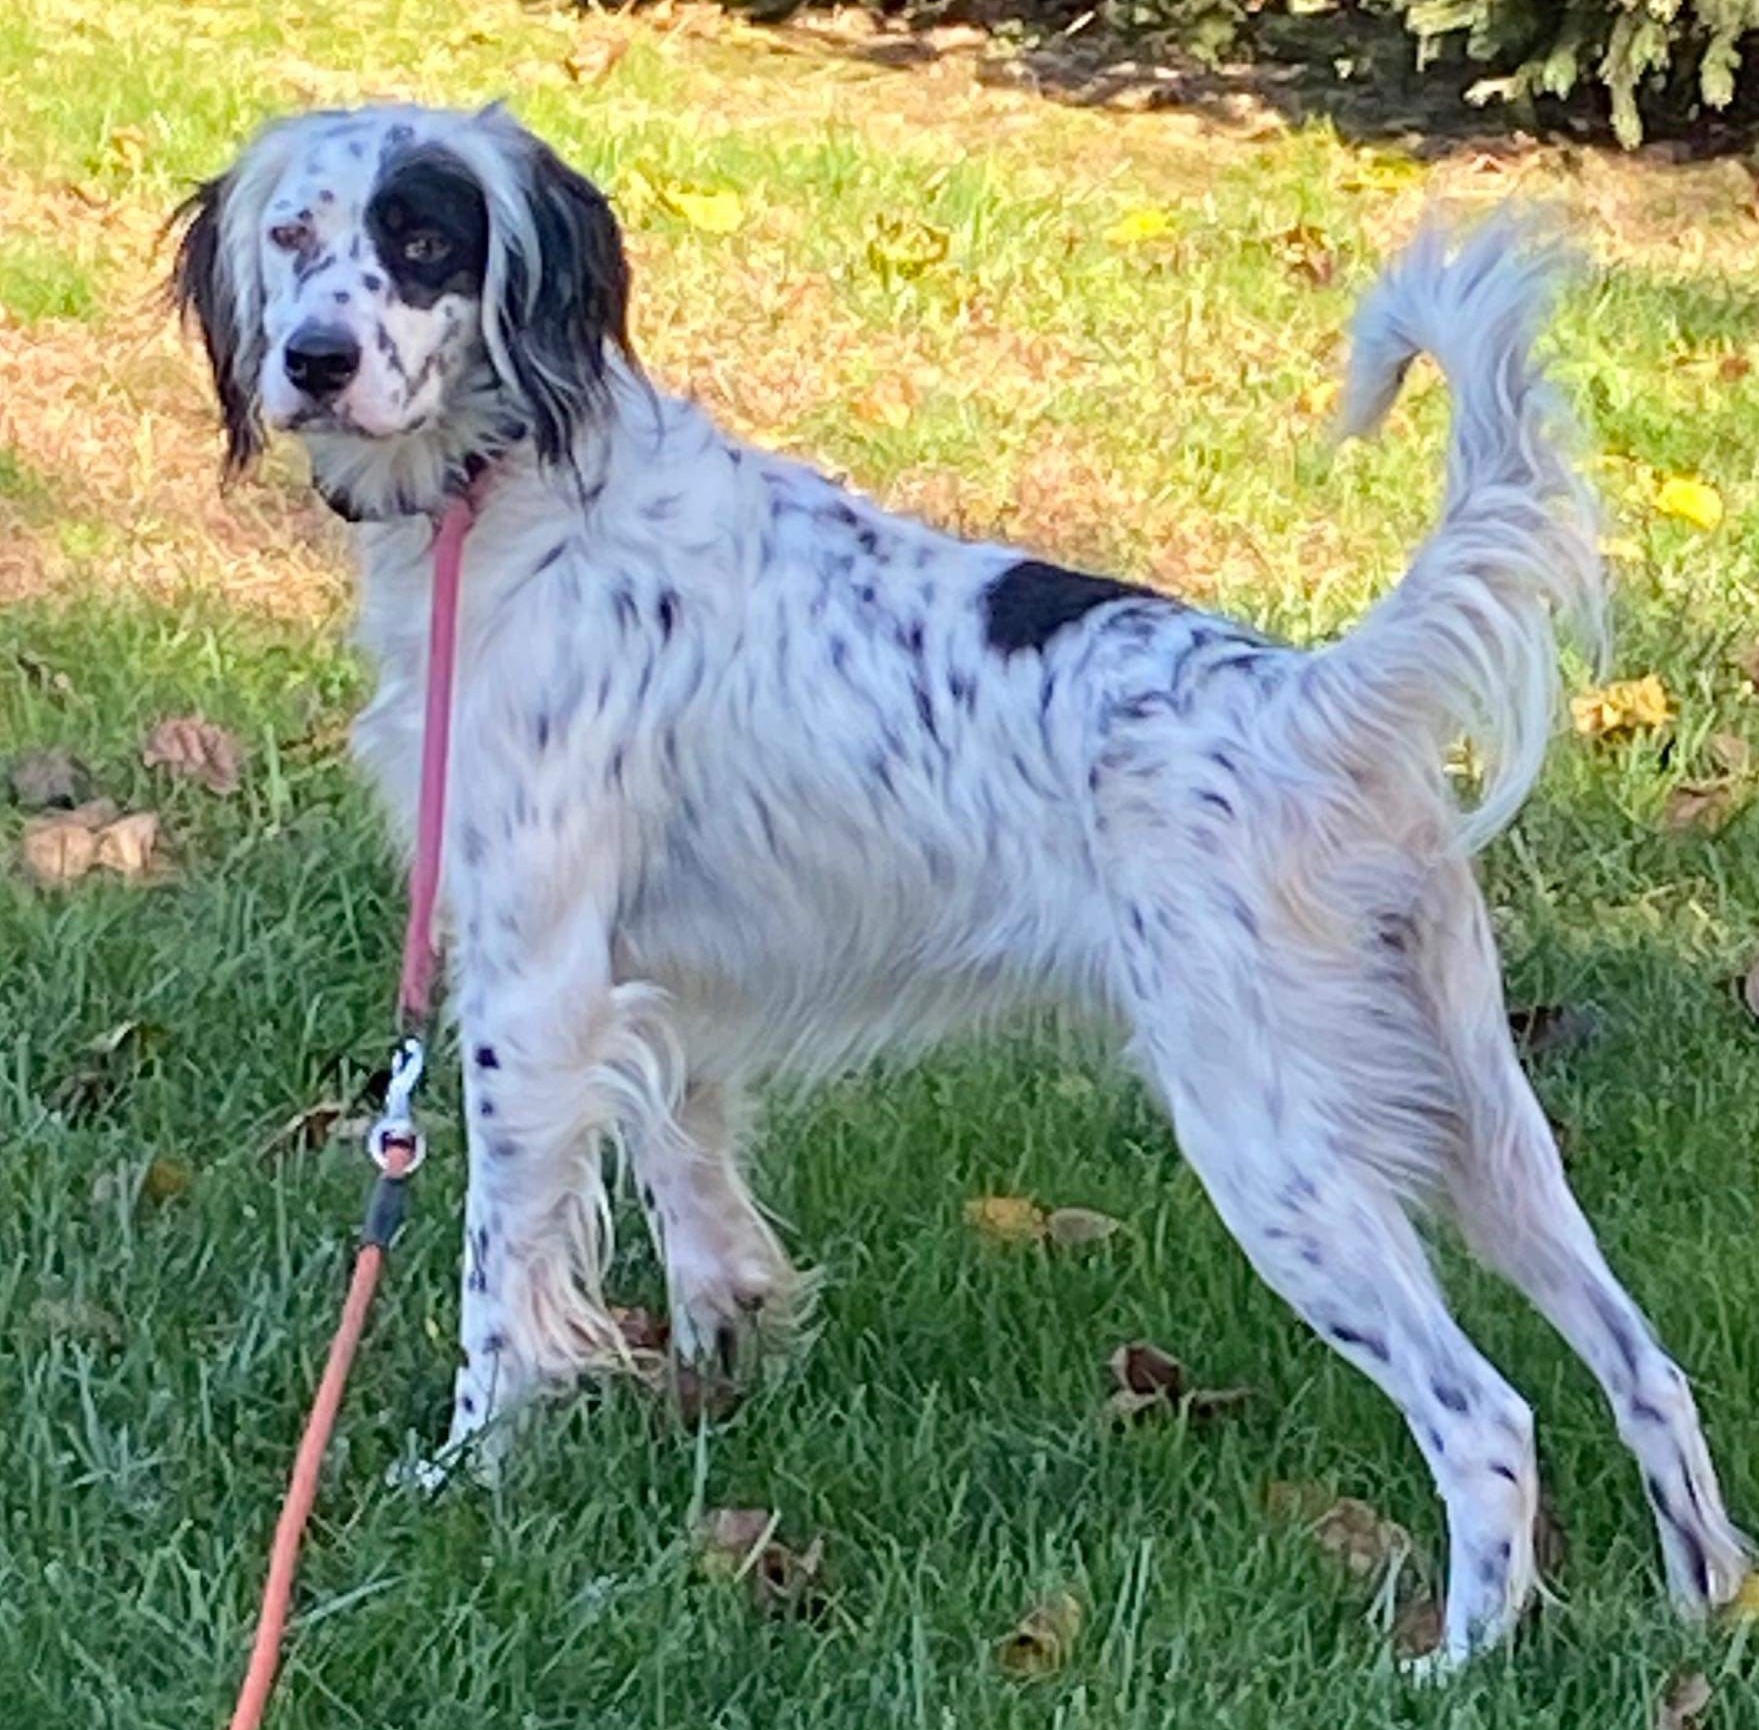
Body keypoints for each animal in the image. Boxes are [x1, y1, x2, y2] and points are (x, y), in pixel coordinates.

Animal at [171, 98, 1751, 1659]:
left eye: (425, 243)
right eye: (293, 236)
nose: (314, 361)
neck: (516, 497)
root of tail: (1309, 697)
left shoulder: (533, 987)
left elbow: (499, 1279)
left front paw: (471, 1466)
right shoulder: (664, 991)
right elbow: (698, 1202)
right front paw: (723, 1372)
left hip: (1275, 1147)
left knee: (1487, 1420)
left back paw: (1449, 1661)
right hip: (1487, 1129)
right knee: (1644, 1367)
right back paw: (1699, 1604)